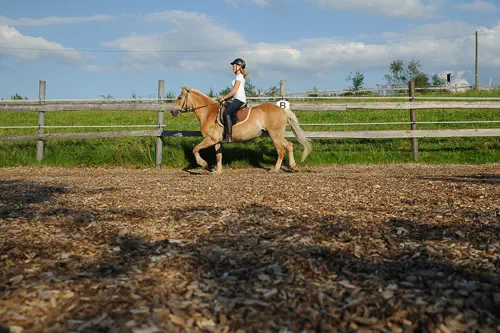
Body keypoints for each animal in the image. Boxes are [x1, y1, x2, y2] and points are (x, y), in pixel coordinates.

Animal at [172, 85, 312, 174]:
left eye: (179, 98)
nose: (172, 111)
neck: (208, 113)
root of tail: (282, 109)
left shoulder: (210, 139)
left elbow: (195, 149)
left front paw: (204, 164)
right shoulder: (217, 141)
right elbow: (219, 156)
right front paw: (218, 171)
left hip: (274, 135)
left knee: (281, 151)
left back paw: (275, 170)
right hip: (274, 134)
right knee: (289, 145)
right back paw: (294, 166)